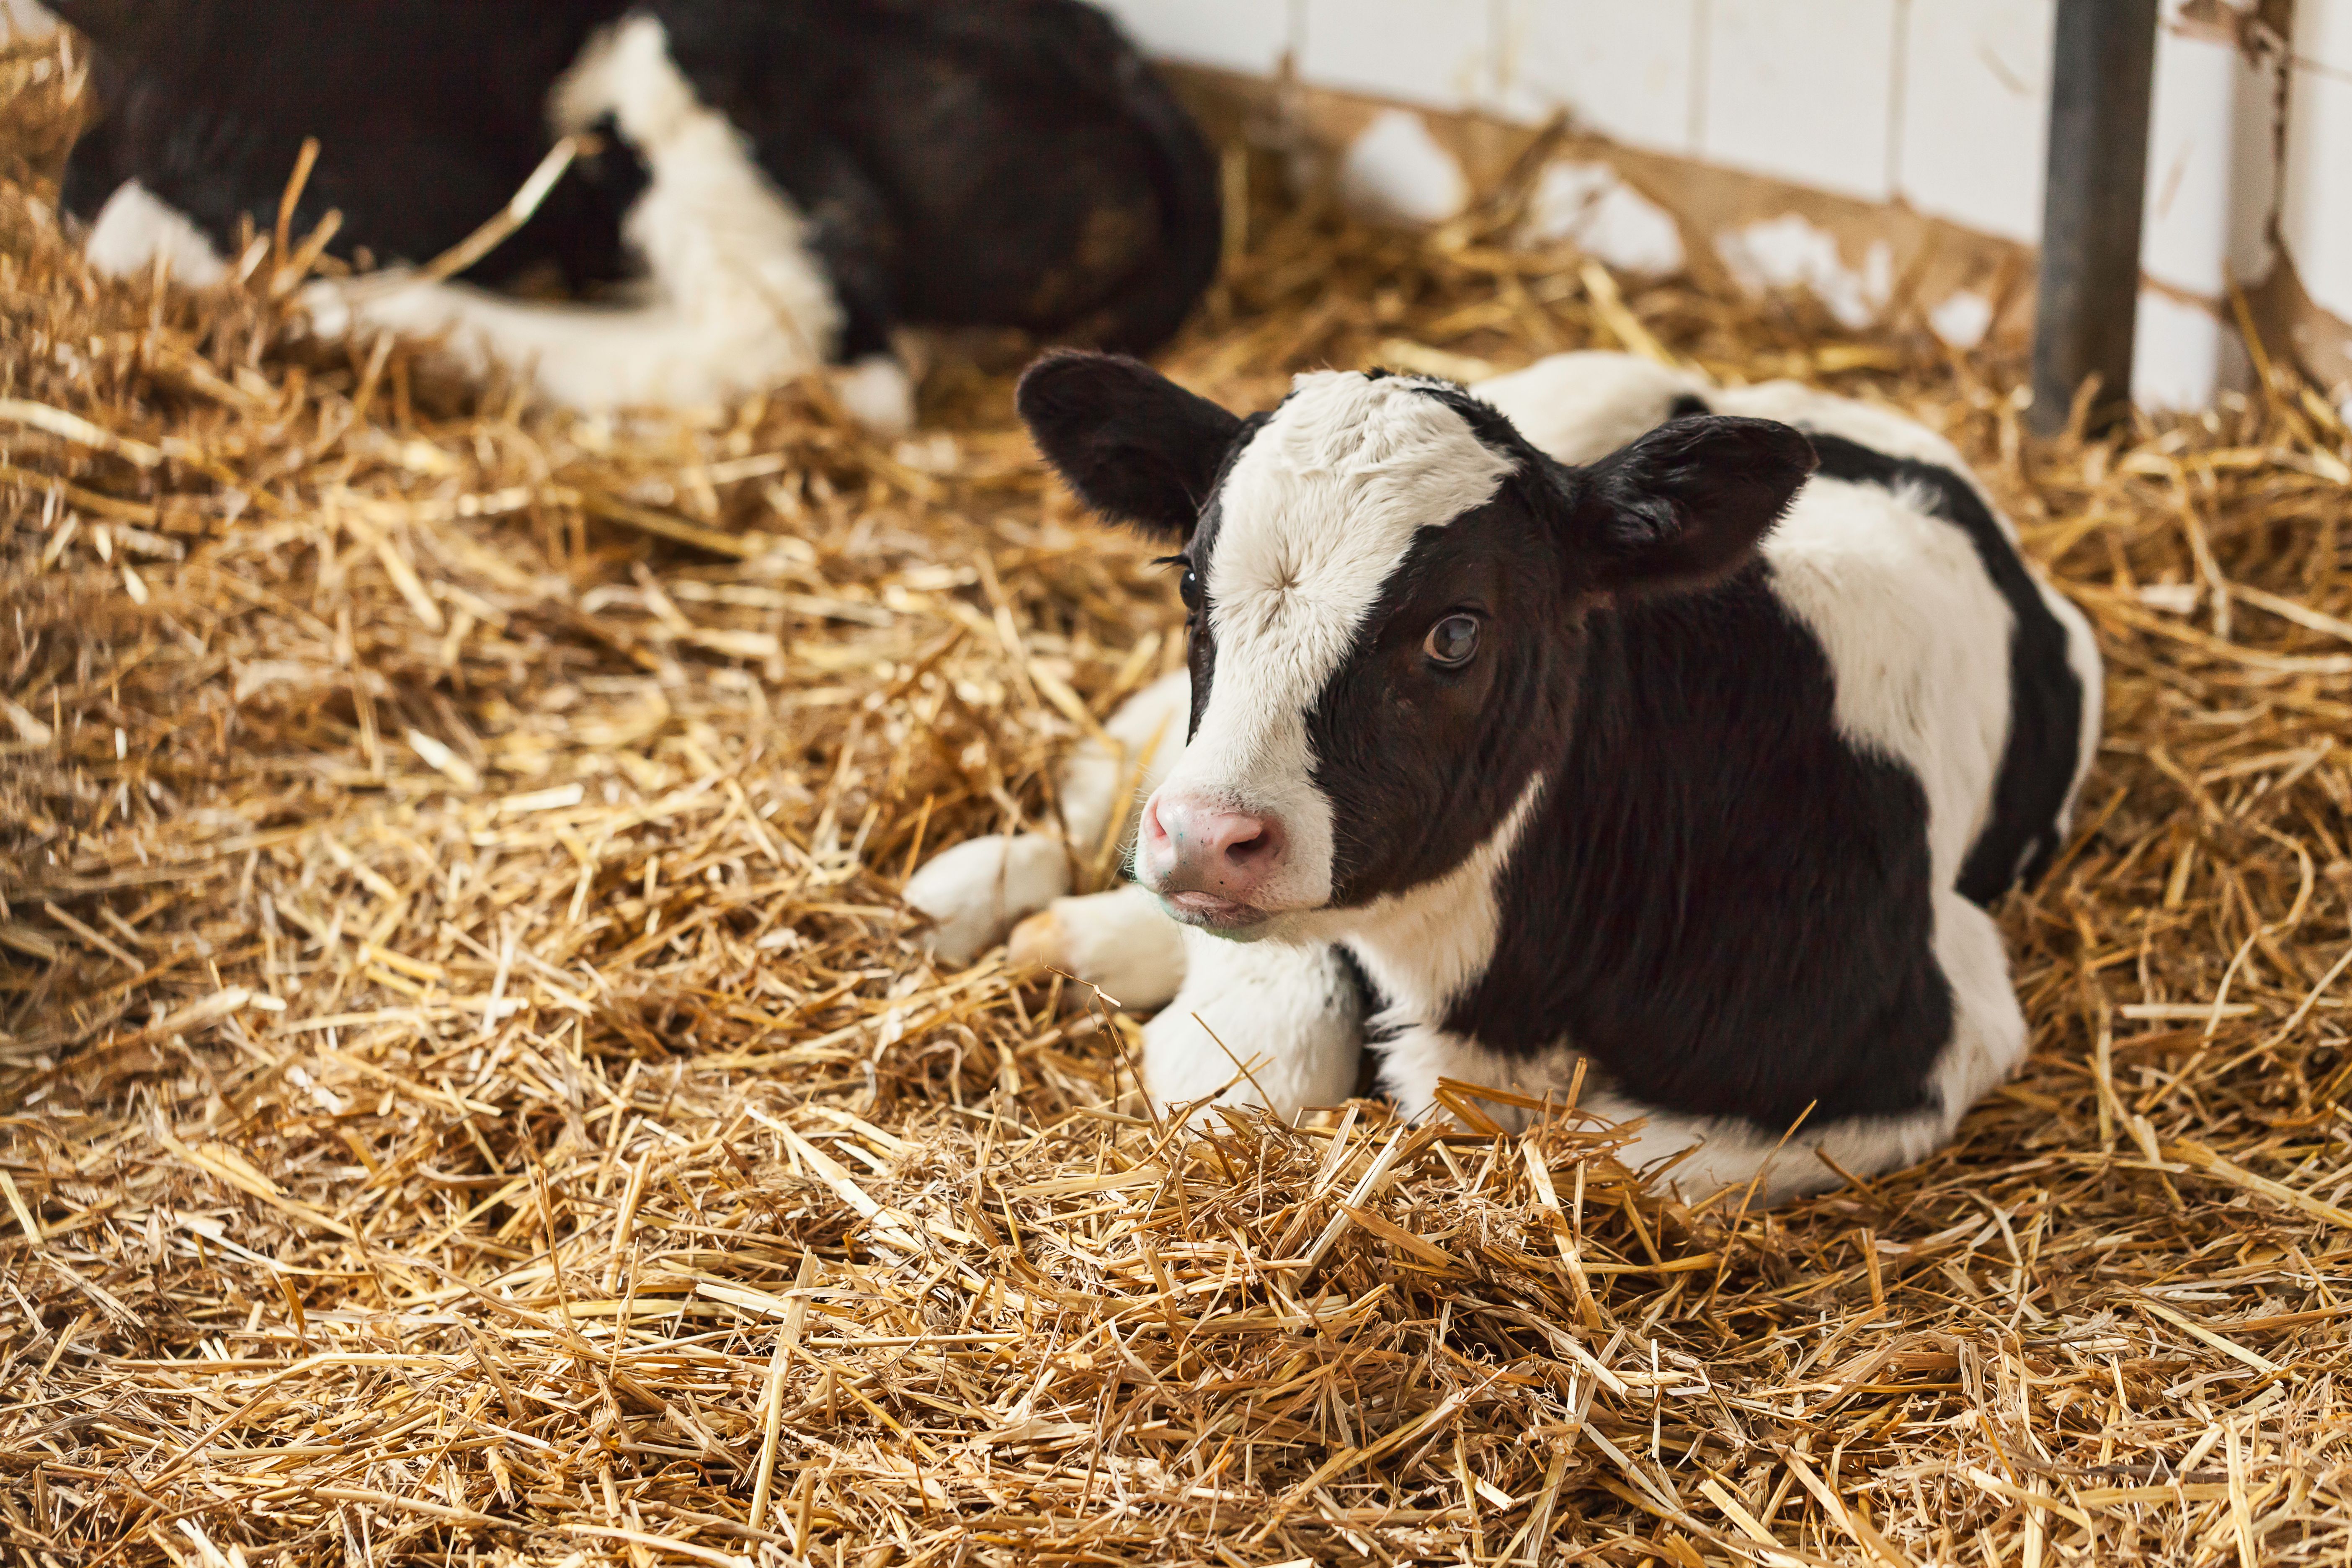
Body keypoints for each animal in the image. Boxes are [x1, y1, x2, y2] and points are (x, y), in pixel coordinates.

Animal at [910, 350, 2102, 1202]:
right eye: (1189, 584)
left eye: (1456, 631)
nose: (1205, 836)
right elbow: (1255, 1063)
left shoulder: (1941, 1029)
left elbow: (1615, 1158)